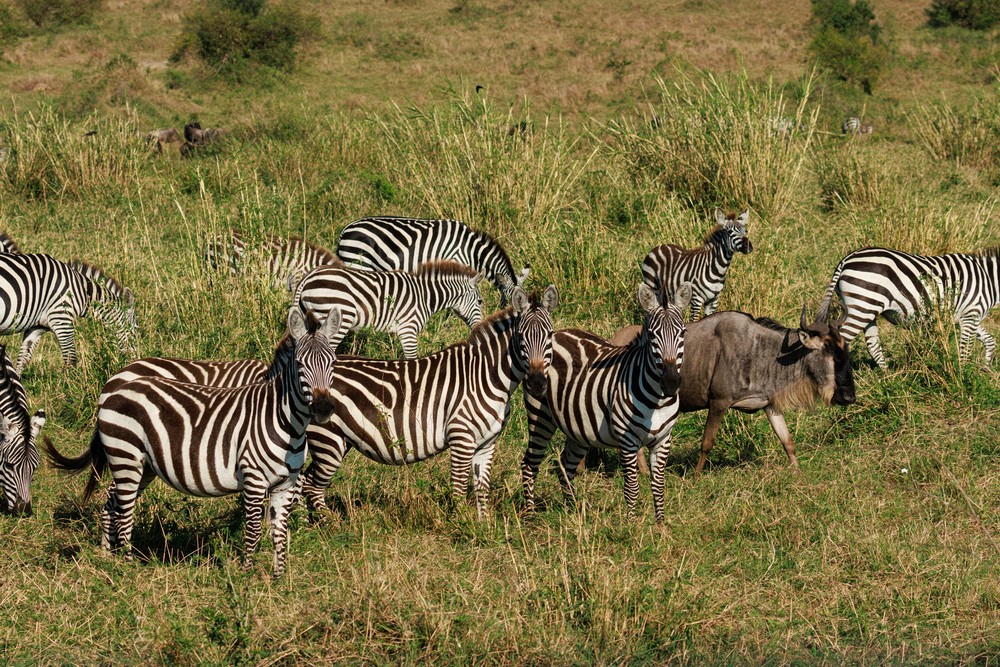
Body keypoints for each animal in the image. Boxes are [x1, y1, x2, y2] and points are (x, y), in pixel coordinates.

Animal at [0, 254, 138, 373]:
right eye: (135, 331)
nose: (135, 361)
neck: (83, 292)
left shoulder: (37, 327)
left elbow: (23, 359)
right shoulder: (62, 318)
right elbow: (71, 359)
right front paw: (72, 385)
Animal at [45, 306, 342, 578]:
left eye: (332, 364)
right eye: (301, 365)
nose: (324, 409)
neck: (286, 422)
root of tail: (114, 385)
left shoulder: (284, 484)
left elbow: (279, 533)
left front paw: (277, 580)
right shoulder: (254, 479)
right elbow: (254, 530)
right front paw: (247, 578)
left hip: (143, 465)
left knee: (112, 501)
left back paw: (108, 556)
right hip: (125, 455)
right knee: (124, 510)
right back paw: (127, 566)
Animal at [295, 260, 484, 359]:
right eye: (480, 302)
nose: (479, 329)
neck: (424, 295)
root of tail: (308, 277)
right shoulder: (408, 329)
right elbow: (411, 359)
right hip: (337, 319)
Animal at [520, 283, 691, 523]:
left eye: (682, 332)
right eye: (652, 335)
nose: (670, 382)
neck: (657, 400)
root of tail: (557, 333)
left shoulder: (663, 440)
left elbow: (659, 486)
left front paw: (660, 525)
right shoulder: (628, 442)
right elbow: (632, 487)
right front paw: (632, 525)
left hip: (579, 427)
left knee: (566, 464)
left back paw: (572, 511)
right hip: (540, 416)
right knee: (529, 463)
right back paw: (530, 515)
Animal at [820, 247, 1000, 368]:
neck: (989, 279)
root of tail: (846, 260)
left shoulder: (967, 317)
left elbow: (990, 341)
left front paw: (984, 369)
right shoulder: (971, 314)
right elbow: (965, 350)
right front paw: (962, 377)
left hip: (866, 310)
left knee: (873, 346)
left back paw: (889, 380)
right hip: (862, 307)